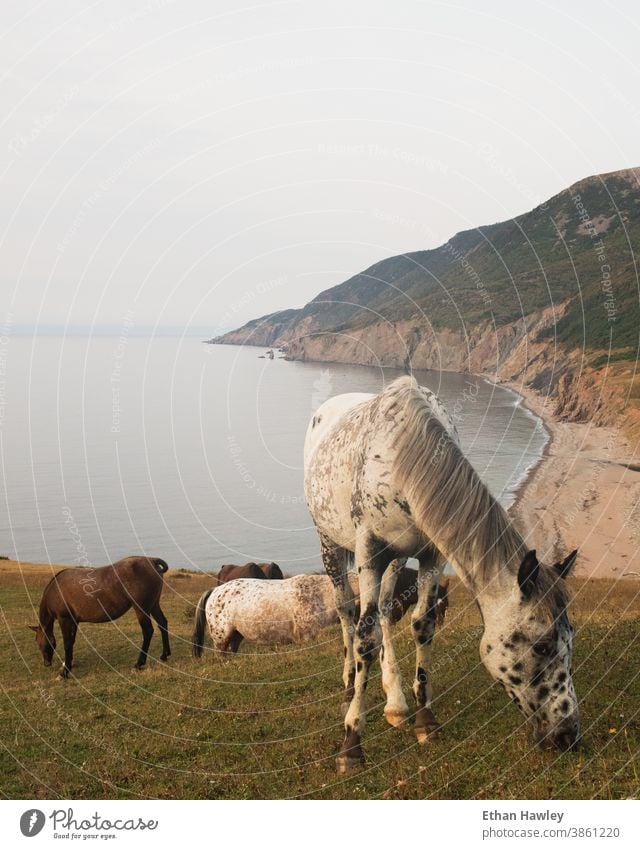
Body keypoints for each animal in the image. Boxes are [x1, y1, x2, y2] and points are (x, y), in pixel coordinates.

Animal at [29, 552, 171, 680]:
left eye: (39, 641)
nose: (46, 663)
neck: (55, 590)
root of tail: (152, 561)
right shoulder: (74, 621)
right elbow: (72, 641)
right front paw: (68, 664)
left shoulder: (65, 619)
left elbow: (67, 644)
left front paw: (64, 672)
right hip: (154, 605)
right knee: (162, 623)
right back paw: (165, 655)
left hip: (141, 608)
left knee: (148, 631)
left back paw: (139, 664)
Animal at [304, 374, 580, 772]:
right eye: (541, 645)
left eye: (571, 639)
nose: (568, 734)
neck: (401, 456)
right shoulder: (369, 552)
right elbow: (365, 638)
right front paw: (351, 743)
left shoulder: (432, 554)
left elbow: (423, 624)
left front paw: (425, 720)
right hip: (330, 544)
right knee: (347, 611)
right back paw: (348, 683)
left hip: (397, 558)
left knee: (385, 609)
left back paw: (395, 699)